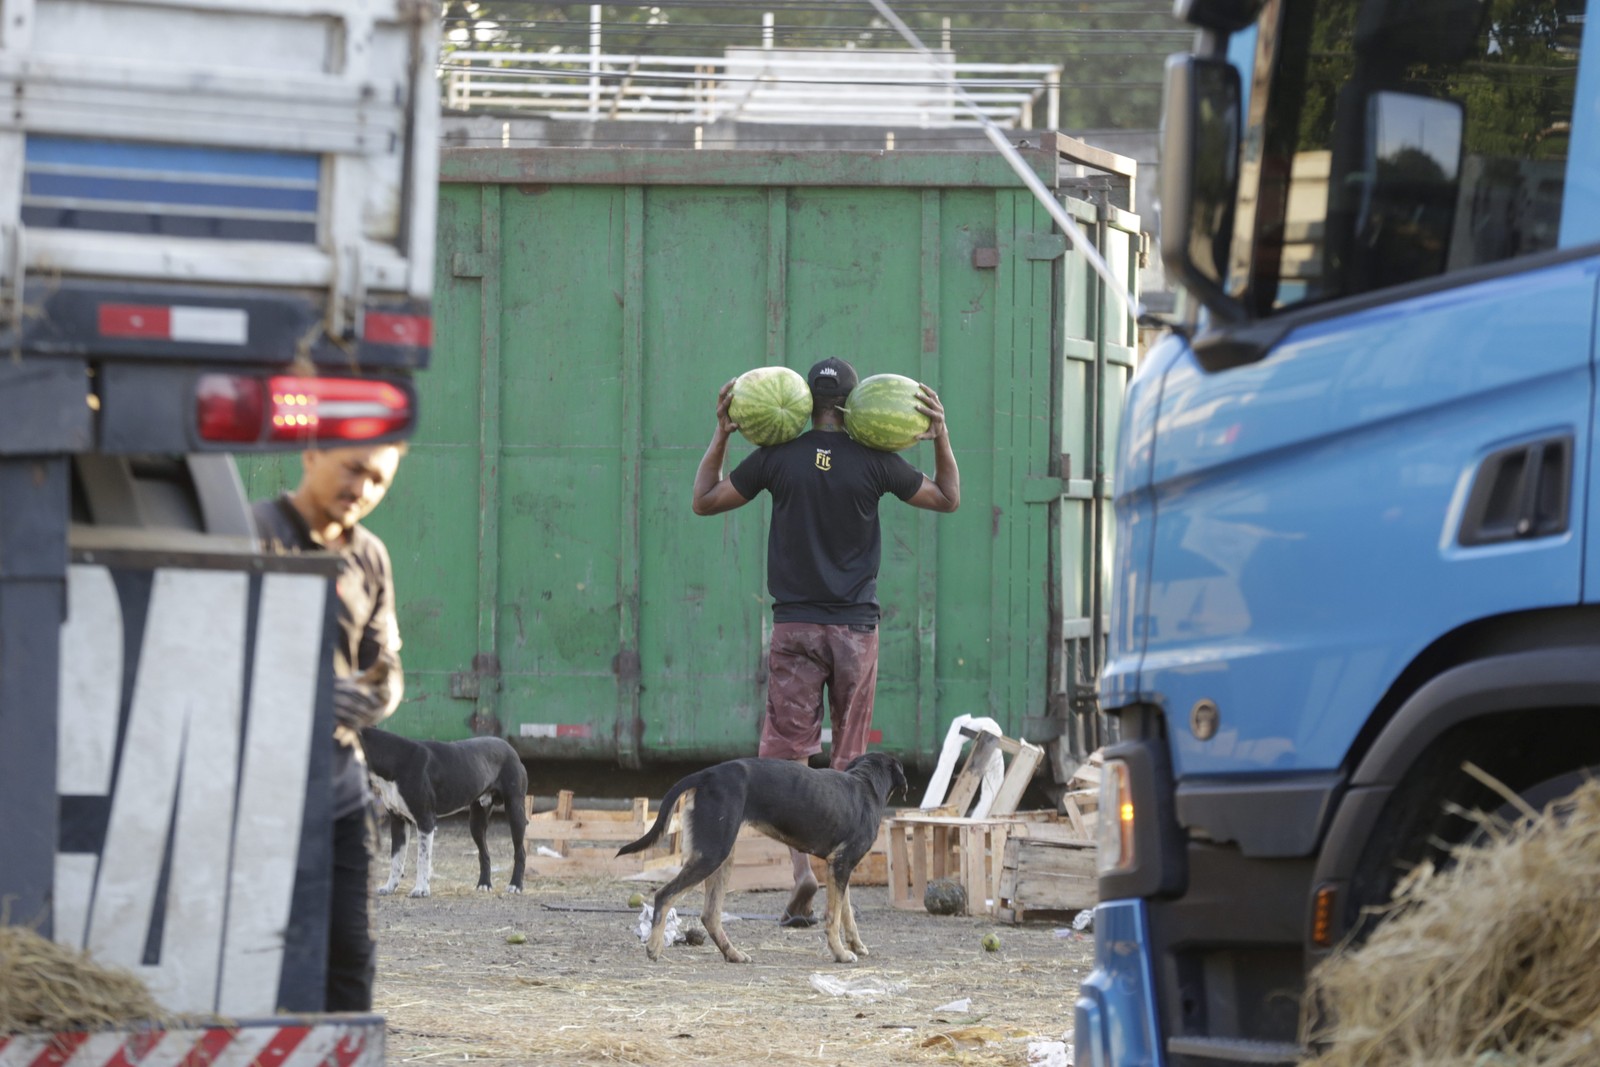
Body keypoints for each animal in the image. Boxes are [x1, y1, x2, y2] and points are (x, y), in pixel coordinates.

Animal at [358, 729, 528, 895]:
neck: (394, 758)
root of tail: (511, 749)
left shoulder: (425, 820)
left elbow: (423, 858)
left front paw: (421, 889)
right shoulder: (398, 821)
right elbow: (395, 859)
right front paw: (389, 887)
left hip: (515, 811)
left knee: (520, 851)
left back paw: (515, 885)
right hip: (476, 822)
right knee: (484, 853)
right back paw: (484, 884)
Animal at [617, 751, 908, 966]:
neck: (866, 784)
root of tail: (705, 774)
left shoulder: (840, 867)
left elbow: (846, 913)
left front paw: (856, 946)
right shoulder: (841, 864)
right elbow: (833, 918)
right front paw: (840, 953)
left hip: (723, 857)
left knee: (710, 914)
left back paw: (733, 954)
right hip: (712, 854)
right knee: (664, 895)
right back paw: (654, 947)